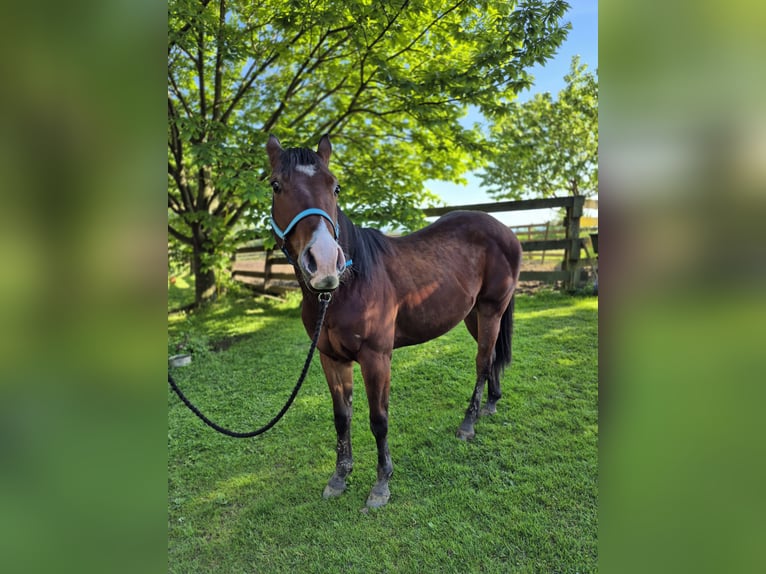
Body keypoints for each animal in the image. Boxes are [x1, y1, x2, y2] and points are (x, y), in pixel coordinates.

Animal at [266, 135, 522, 507]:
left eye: (335, 186)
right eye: (276, 186)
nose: (325, 262)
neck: (346, 287)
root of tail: (506, 230)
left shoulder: (376, 358)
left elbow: (379, 420)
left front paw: (381, 484)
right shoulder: (331, 359)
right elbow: (341, 417)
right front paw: (339, 476)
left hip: (491, 310)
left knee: (482, 362)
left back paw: (468, 424)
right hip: (475, 315)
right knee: (492, 359)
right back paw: (490, 404)